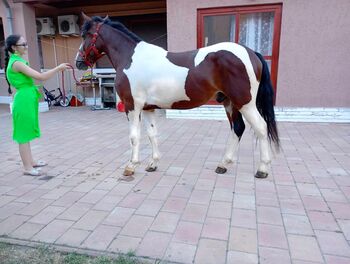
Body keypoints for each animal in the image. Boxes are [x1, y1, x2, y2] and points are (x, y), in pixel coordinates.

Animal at [75, 14, 280, 179]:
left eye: (86, 35)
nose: (79, 62)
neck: (130, 58)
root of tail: (252, 53)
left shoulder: (132, 106)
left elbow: (134, 136)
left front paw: (131, 166)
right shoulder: (148, 108)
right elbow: (152, 134)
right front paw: (153, 164)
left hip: (245, 103)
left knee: (261, 127)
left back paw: (262, 169)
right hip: (229, 102)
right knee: (237, 128)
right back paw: (223, 164)